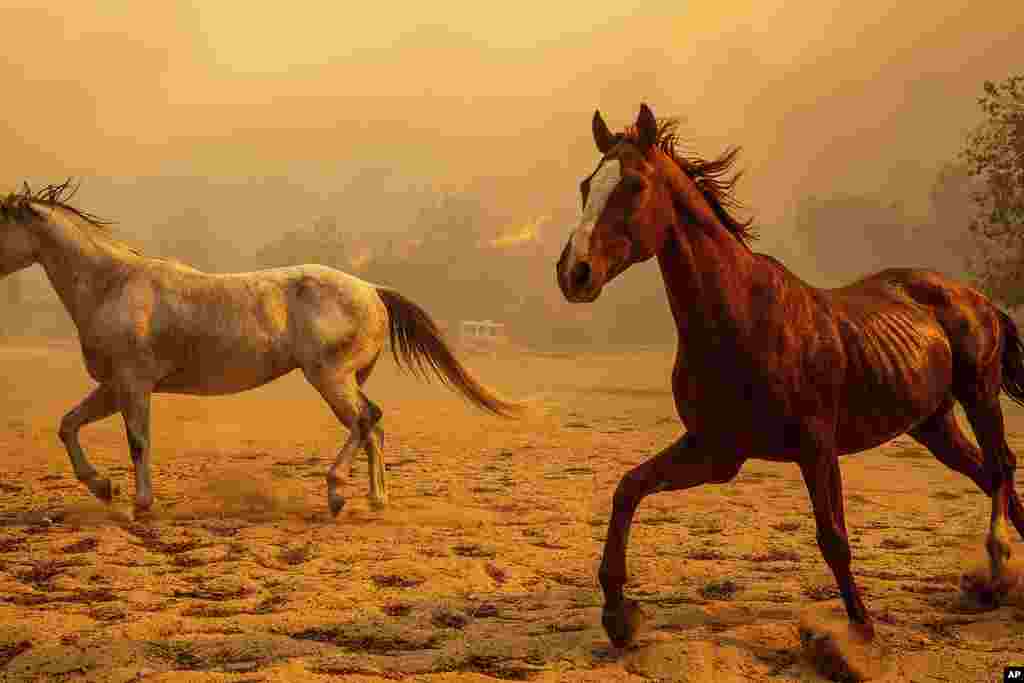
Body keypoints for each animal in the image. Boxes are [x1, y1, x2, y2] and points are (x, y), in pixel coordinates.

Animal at [0, 181, 520, 518]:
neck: (113, 285)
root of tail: (372, 290)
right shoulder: (112, 386)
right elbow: (68, 425)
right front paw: (103, 487)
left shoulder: (133, 384)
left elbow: (138, 442)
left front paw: (140, 504)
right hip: (346, 379)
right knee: (373, 425)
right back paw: (376, 500)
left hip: (329, 377)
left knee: (364, 421)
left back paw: (336, 493)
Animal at [561, 104, 1024, 651]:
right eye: (586, 186)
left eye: (633, 185)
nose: (574, 273)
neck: (742, 318)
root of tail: (975, 297)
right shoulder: (716, 451)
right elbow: (628, 489)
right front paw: (618, 616)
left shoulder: (816, 446)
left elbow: (833, 538)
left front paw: (861, 632)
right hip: (934, 424)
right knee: (987, 474)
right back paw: (999, 581)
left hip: (980, 394)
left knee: (1001, 467)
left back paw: (998, 559)